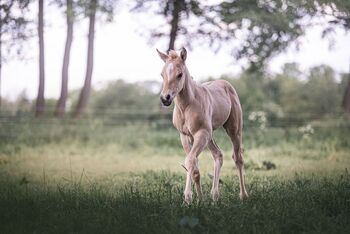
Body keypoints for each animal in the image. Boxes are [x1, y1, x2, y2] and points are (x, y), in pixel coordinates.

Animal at [156, 48, 249, 205]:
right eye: (162, 74)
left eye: (180, 74)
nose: (165, 98)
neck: (187, 105)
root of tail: (226, 84)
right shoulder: (185, 136)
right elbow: (194, 167)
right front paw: (199, 200)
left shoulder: (201, 133)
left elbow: (190, 161)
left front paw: (187, 198)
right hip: (209, 135)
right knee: (218, 155)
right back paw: (215, 195)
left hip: (233, 130)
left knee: (238, 158)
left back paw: (243, 196)